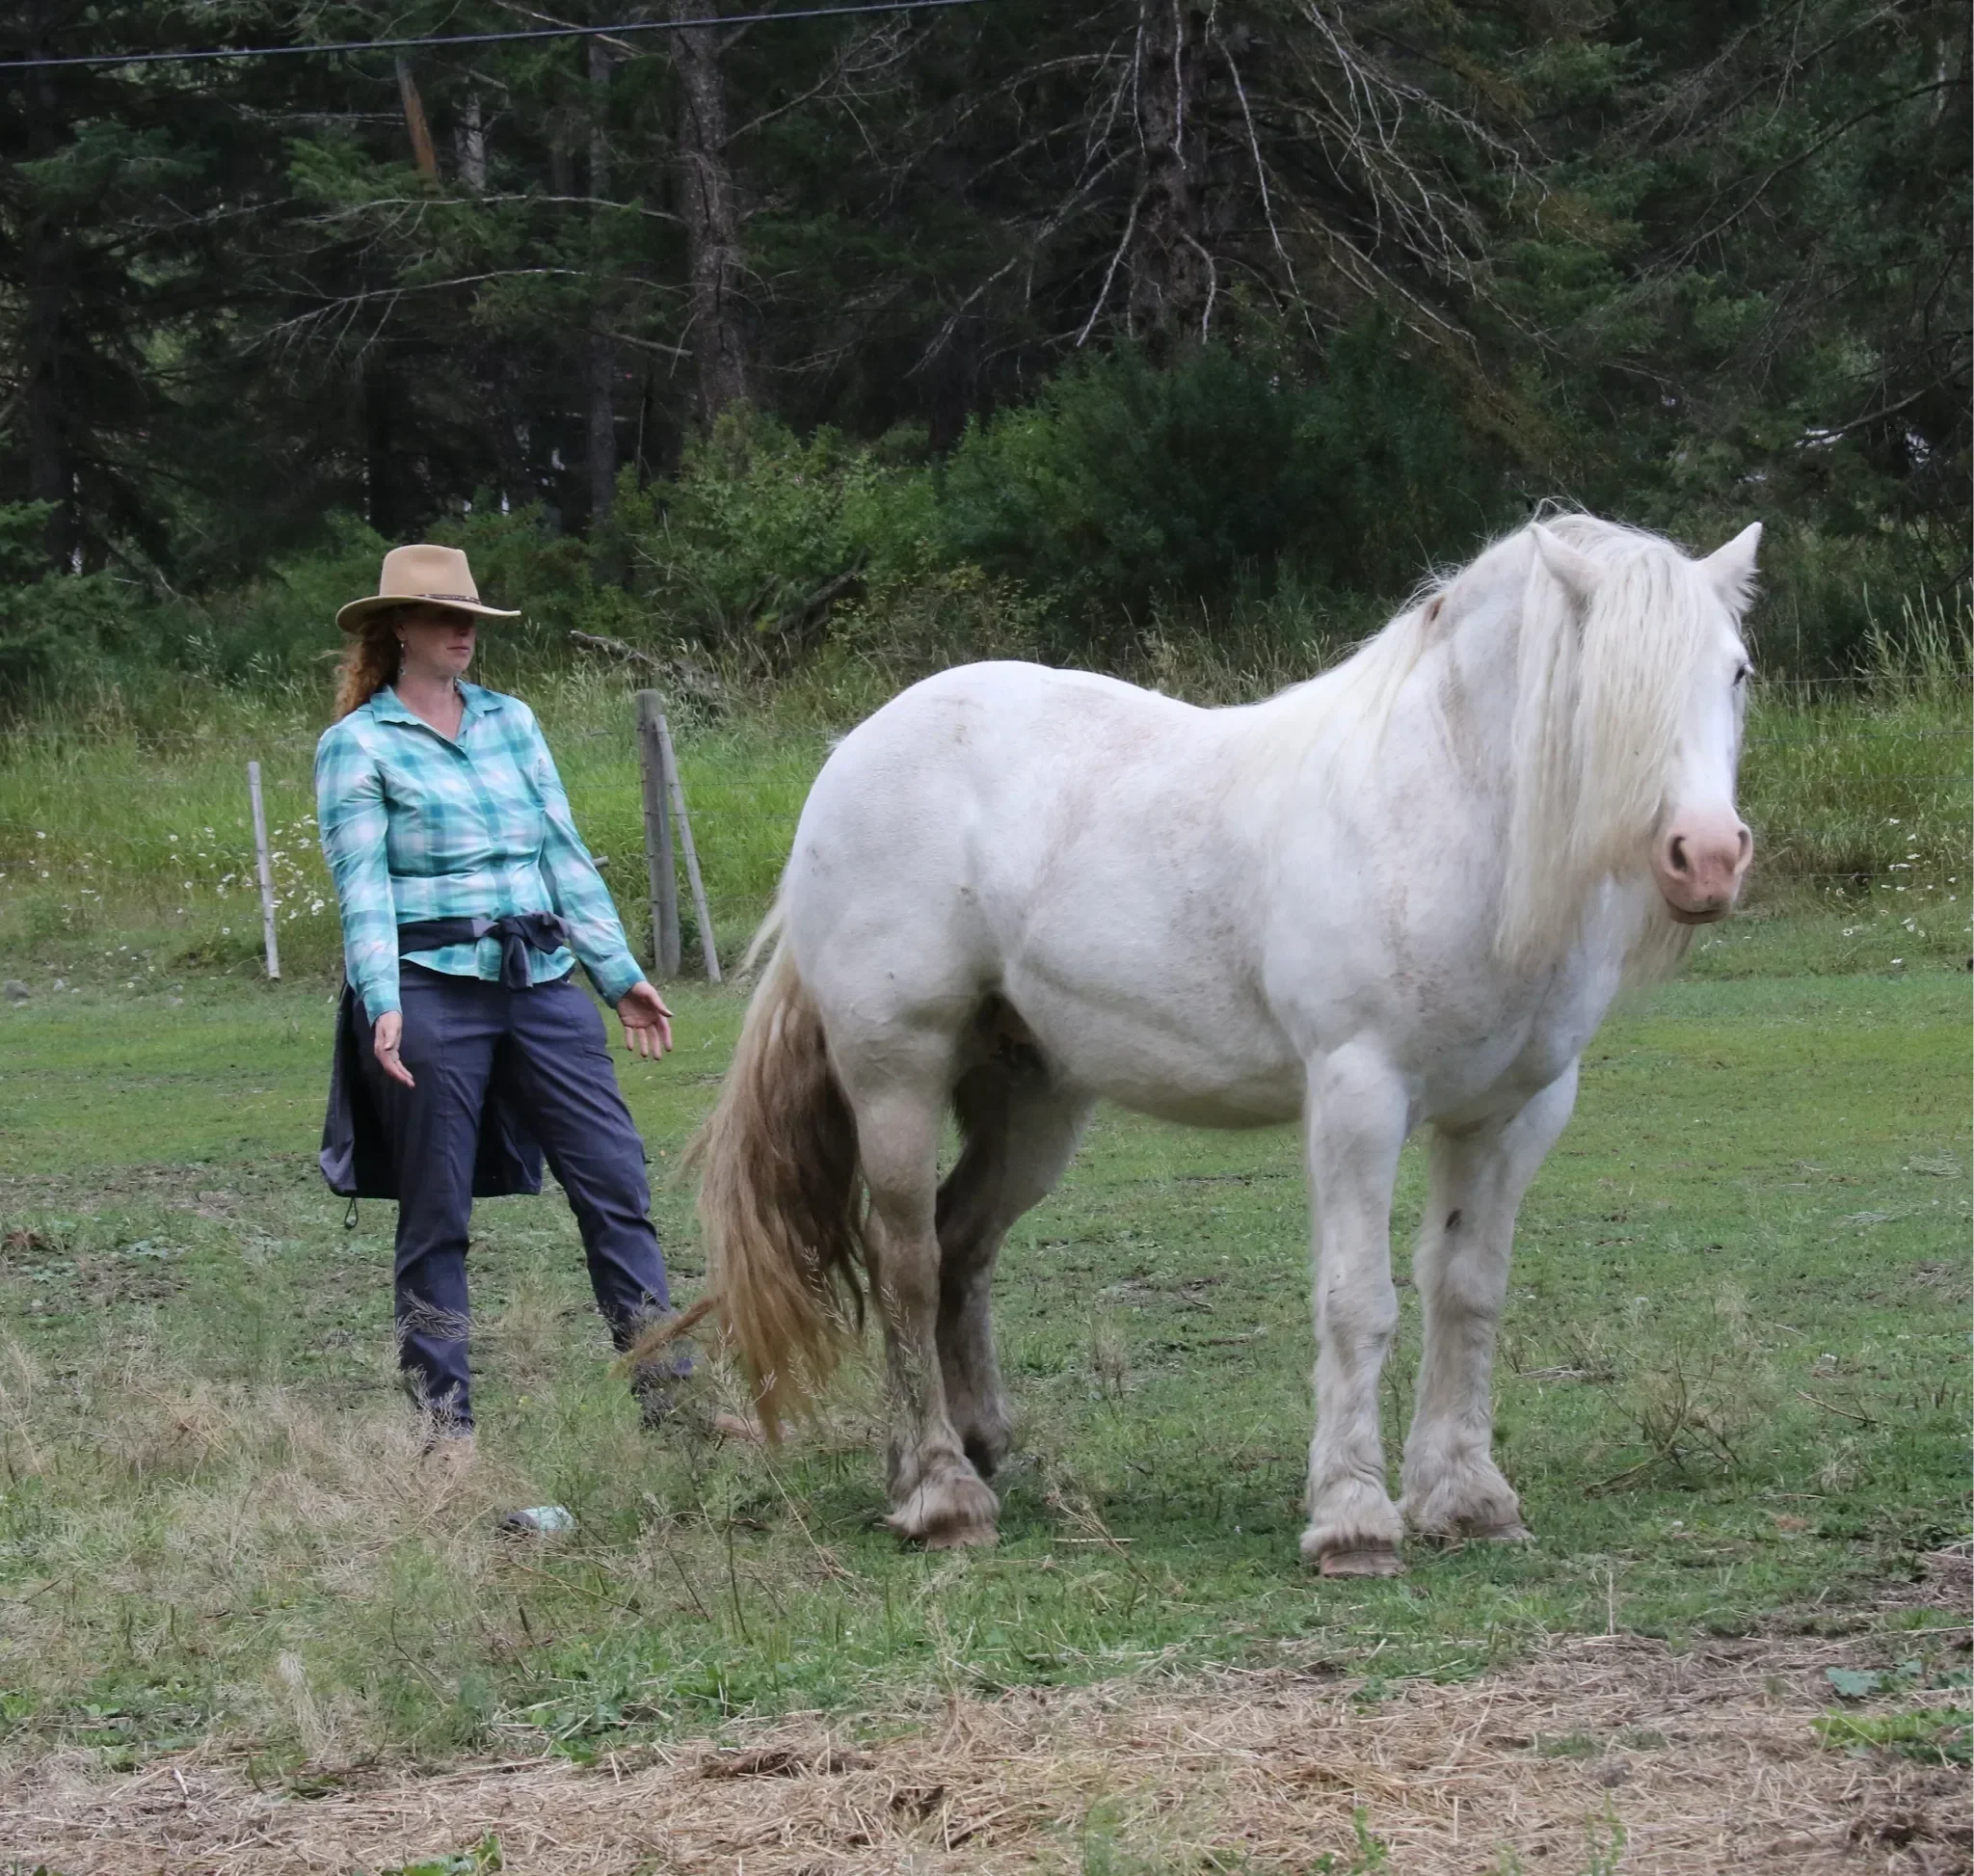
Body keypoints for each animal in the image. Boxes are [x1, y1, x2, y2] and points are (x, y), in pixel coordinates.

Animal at [694, 513, 1760, 1574]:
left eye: (1737, 670)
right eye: (1601, 678)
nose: (1706, 856)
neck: (1439, 815)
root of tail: (856, 748)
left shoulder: (1512, 1114)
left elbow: (1467, 1293)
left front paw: (1467, 1498)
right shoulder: (1359, 1095)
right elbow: (1357, 1300)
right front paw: (1352, 1518)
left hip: (1032, 1100)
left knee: (963, 1242)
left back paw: (970, 1445)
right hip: (896, 1076)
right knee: (908, 1261)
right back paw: (939, 1491)